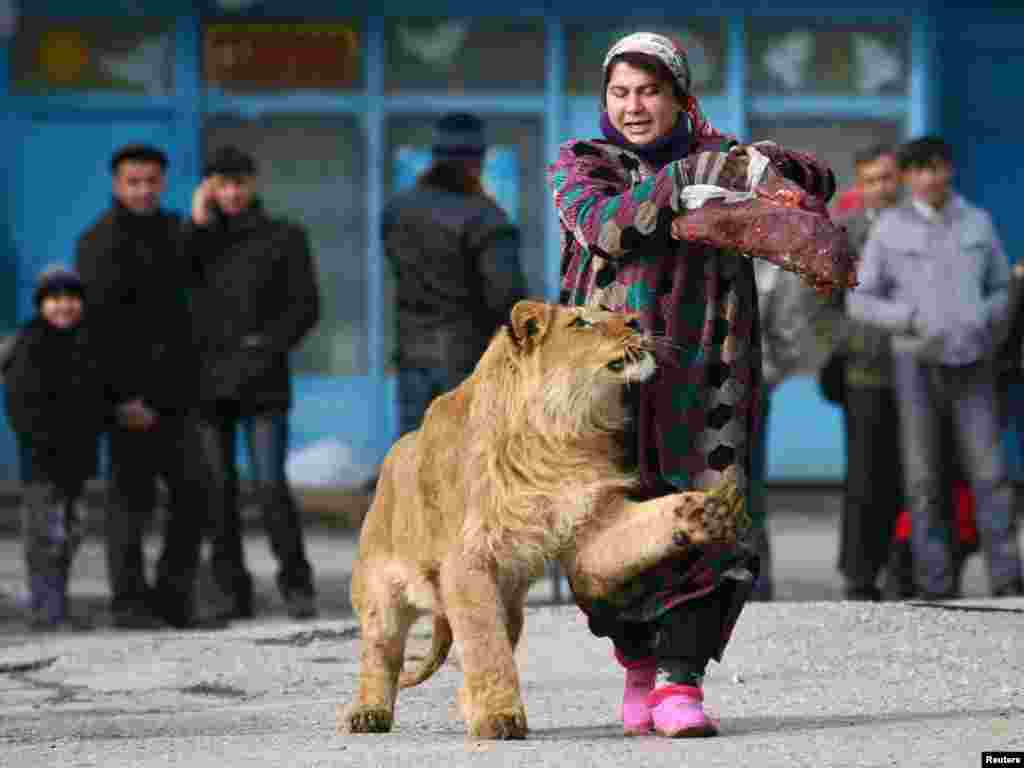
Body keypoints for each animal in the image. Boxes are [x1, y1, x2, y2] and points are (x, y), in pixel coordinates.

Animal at [339, 299, 749, 741]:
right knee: (381, 656)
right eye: (582, 322)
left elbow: (641, 529)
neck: (560, 433)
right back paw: (368, 712)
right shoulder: (467, 561)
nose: (637, 320)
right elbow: (485, 645)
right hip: (380, 595)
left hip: (511, 605)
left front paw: (702, 512)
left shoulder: (590, 527)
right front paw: (499, 718)